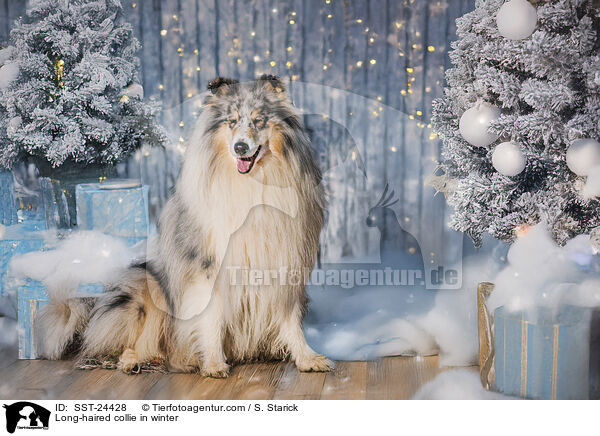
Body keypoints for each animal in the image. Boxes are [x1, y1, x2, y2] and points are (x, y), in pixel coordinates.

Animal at [38, 73, 332, 376]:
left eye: (259, 120)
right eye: (231, 121)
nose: (239, 148)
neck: (251, 183)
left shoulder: (284, 260)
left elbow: (290, 318)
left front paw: (307, 358)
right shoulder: (207, 265)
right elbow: (211, 318)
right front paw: (213, 363)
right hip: (148, 287)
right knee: (129, 344)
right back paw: (136, 361)